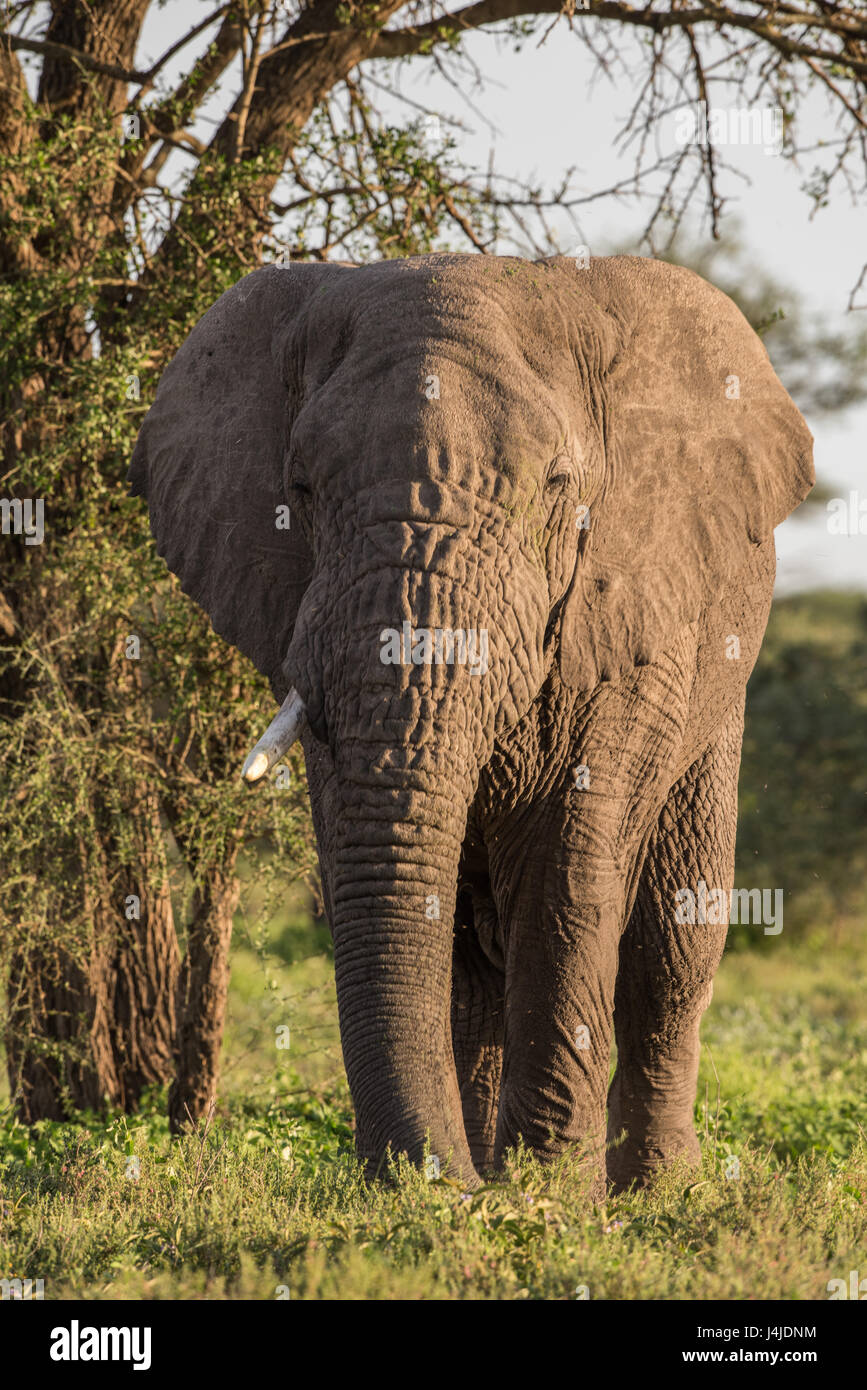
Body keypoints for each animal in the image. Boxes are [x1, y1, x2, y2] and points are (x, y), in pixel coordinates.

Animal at [128, 252, 811, 1195]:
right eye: (298, 492)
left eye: (557, 489)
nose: (434, 1183)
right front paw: (485, 1198)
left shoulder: (631, 618)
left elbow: (567, 877)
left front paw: (550, 1199)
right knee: (479, 971)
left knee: (672, 947)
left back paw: (657, 1192)